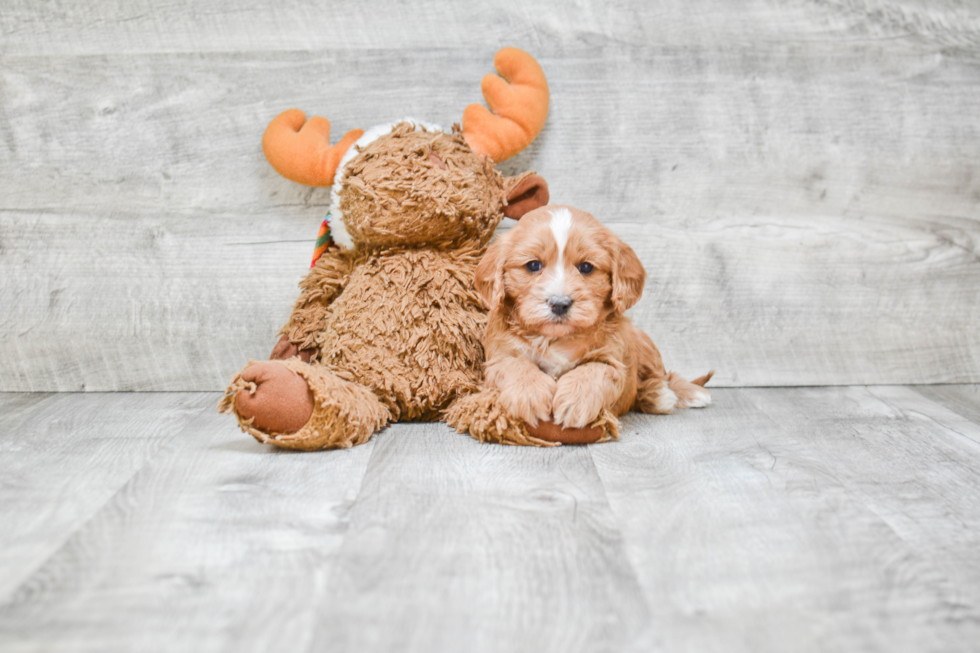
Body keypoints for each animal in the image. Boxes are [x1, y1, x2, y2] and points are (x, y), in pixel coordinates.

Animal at [474, 204, 712, 432]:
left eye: (586, 267)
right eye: (533, 265)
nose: (559, 303)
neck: (556, 338)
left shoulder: (614, 361)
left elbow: (595, 370)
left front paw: (575, 400)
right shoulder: (498, 356)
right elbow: (514, 364)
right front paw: (529, 394)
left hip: (643, 342)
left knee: (661, 377)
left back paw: (667, 394)